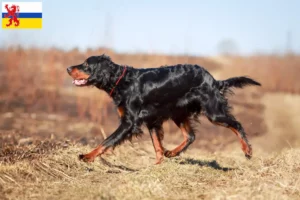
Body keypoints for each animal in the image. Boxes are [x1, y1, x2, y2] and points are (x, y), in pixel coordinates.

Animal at [67, 54, 260, 164]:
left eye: (86, 65)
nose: (68, 68)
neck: (122, 81)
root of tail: (212, 80)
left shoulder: (129, 123)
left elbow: (106, 141)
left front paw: (87, 157)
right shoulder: (152, 120)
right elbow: (157, 147)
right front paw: (157, 166)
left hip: (213, 112)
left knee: (237, 124)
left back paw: (247, 150)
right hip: (178, 112)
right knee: (190, 136)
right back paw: (172, 152)